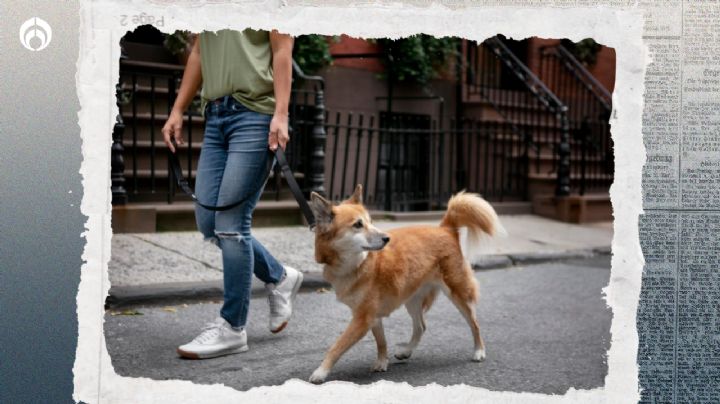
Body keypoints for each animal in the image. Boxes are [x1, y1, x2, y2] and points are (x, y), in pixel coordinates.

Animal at [306, 185, 504, 384]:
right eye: (358, 225)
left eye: (370, 221)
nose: (386, 238)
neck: (356, 264)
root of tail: (445, 228)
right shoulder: (372, 316)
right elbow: (381, 342)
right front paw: (382, 362)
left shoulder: (362, 319)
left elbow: (337, 346)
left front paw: (321, 371)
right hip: (413, 300)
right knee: (421, 326)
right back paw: (406, 351)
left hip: (458, 293)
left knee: (474, 324)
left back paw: (479, 351)